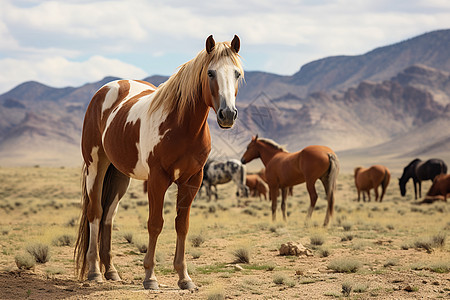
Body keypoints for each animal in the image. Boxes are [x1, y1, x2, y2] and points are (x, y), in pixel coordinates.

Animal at [74, 35, 243, 290]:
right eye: (210, 72)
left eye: (237, 74)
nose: (228, 115)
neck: (182, 126)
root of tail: (108, 89)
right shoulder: (157, 179)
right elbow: (155, 223)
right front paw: (150, 277)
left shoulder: (192, 180)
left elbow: (182, 225)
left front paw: (185, 278)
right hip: (95, 166)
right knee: (95, 212)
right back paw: (94, 271)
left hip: (120, 175)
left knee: (108, 216)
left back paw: (111, 271)